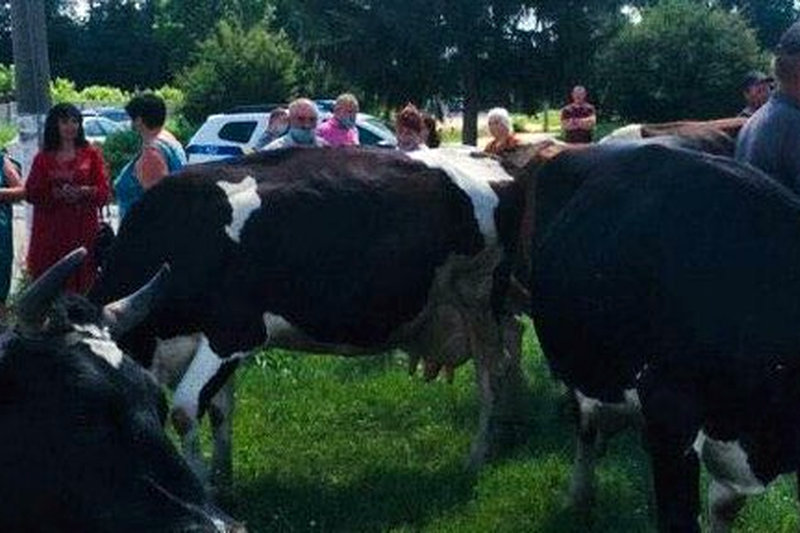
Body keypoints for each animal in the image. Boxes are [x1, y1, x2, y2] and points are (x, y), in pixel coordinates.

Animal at [90, 145, 532, 482]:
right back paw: (508, 432)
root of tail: (494, 160)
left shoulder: (234, 332)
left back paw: (477, 456)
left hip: (478, 294)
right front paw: (223, 480)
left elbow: (185, 412)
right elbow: (220, 411)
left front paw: (201, 483)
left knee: (491, 370)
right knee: (511, 344)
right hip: (485, 303)